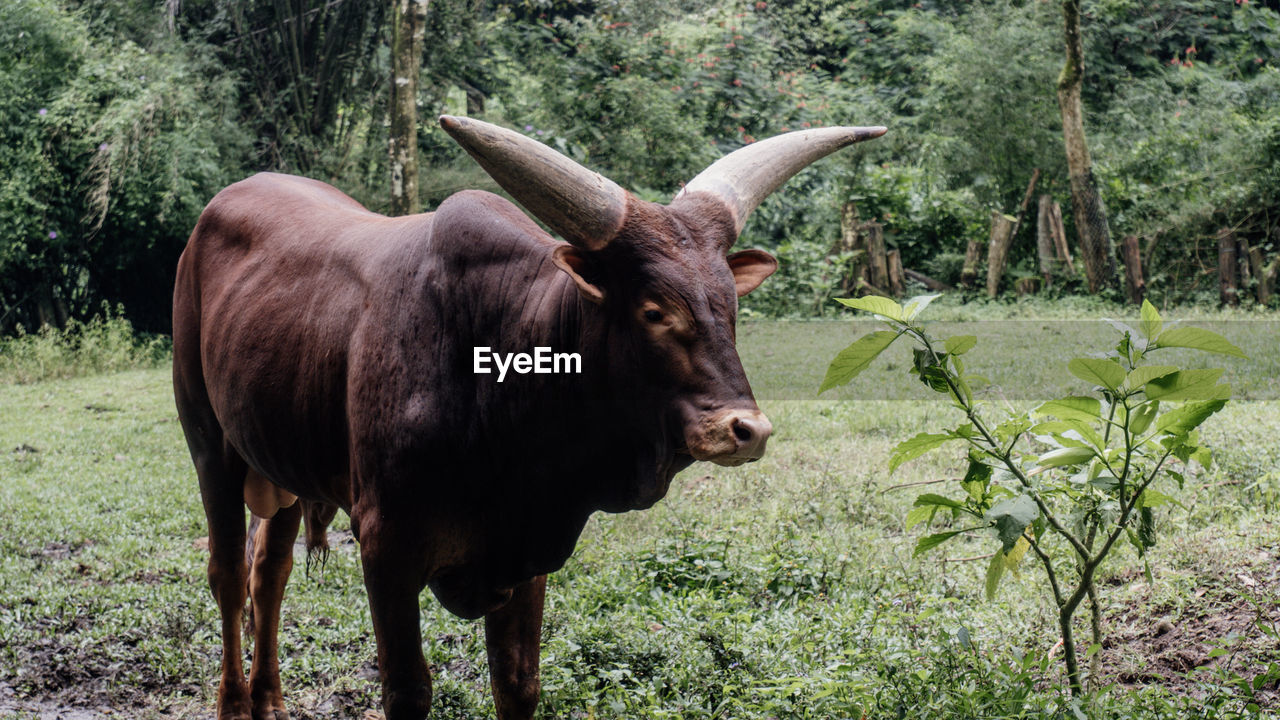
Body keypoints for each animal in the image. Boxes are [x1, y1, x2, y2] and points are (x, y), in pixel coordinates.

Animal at [175, 114, 885, 712]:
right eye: (654, 310)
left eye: (731, 308)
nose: (747, 430)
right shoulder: (386, 549)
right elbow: (408, 689)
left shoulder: (530, 550)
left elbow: (517, 682)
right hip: (208, 443)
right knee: (229, 573)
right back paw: (234, 703)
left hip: (281, 460)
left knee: (270, 571)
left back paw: (269, 699)